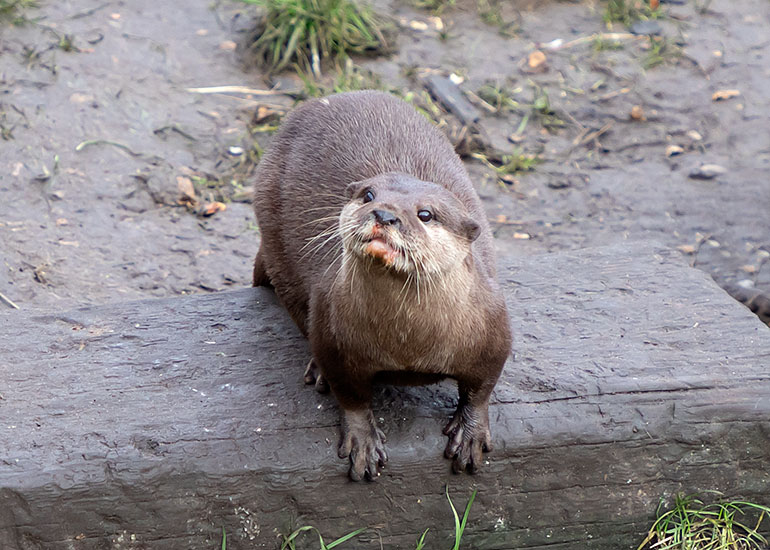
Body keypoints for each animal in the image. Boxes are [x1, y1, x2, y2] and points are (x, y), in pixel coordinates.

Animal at [252, 90, 511, 480]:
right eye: (369, 195)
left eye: (425, 214)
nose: (384, 214)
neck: (408, 343)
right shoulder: (332, 330)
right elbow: (349, 392)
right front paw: (363, 439)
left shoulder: (493, 324)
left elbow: (482, 386)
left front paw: (471, 431)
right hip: (273, 230)